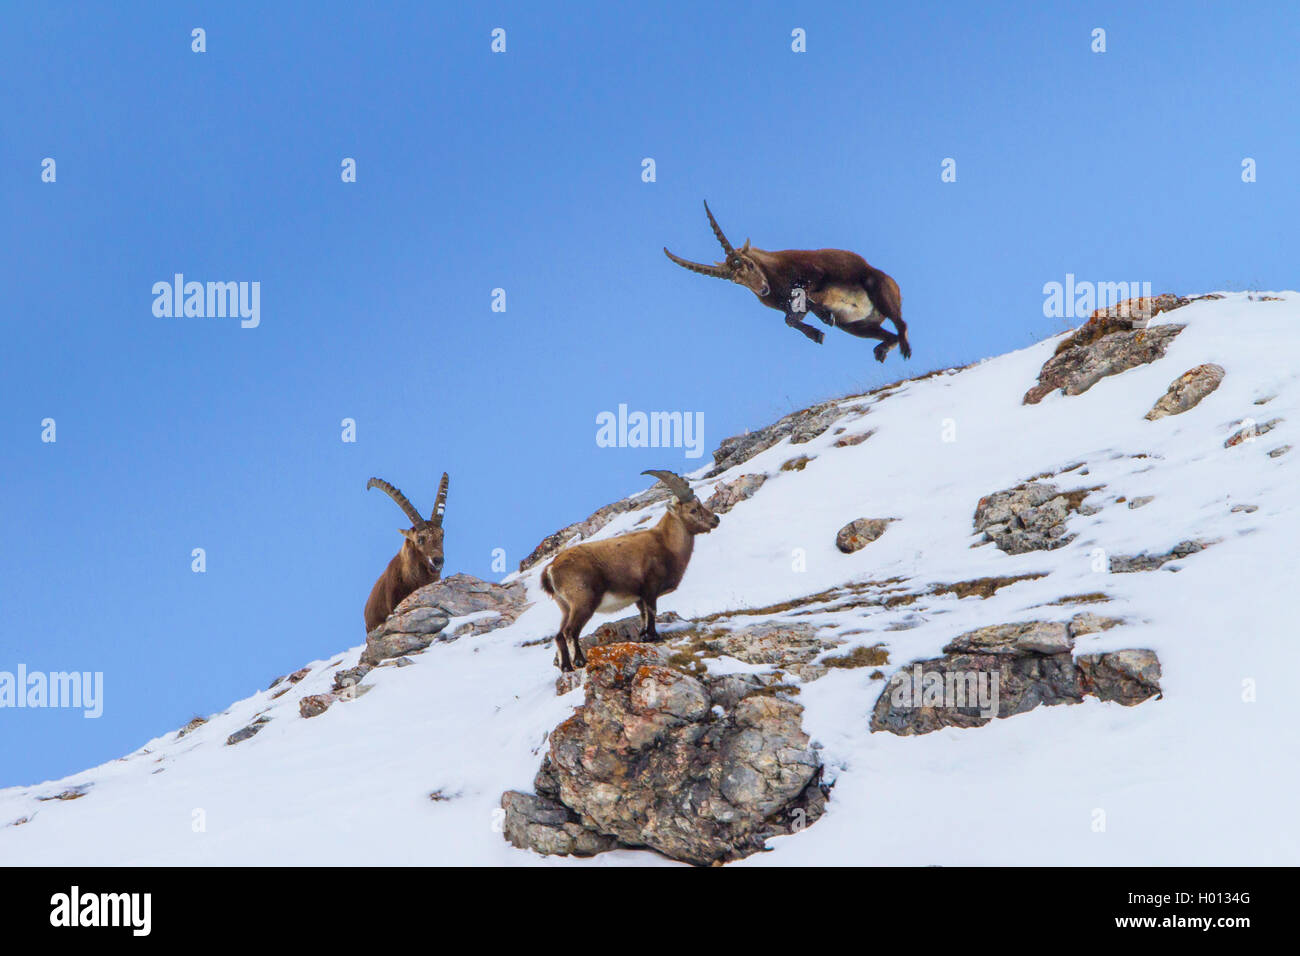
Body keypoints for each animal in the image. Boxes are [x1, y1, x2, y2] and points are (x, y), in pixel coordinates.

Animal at [541, 470, 720, 672]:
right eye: (693, 510)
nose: (715, 519)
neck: (666, 543)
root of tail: (551, 568)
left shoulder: (639, 596)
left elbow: (643, 615)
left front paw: (644, 636)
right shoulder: (650, 587)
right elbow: (652, 612)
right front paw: (653, 636)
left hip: (565, 606)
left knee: (558, 635)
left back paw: (566, 667)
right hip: (583, 601)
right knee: (570, 631)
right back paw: (579, 661)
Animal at [665, 201, 910, 361]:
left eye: (750, 264)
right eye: (736, 281)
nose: (763, 290)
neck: (776, 277)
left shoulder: (816, 274)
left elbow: (809, 295)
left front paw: (824, 318)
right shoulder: (790, 306)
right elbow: (790, 319)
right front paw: (818, 333)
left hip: (878, 287)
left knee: (901, 324)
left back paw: (904, 350)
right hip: (855, 326)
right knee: (888, 334)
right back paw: (881, 350)